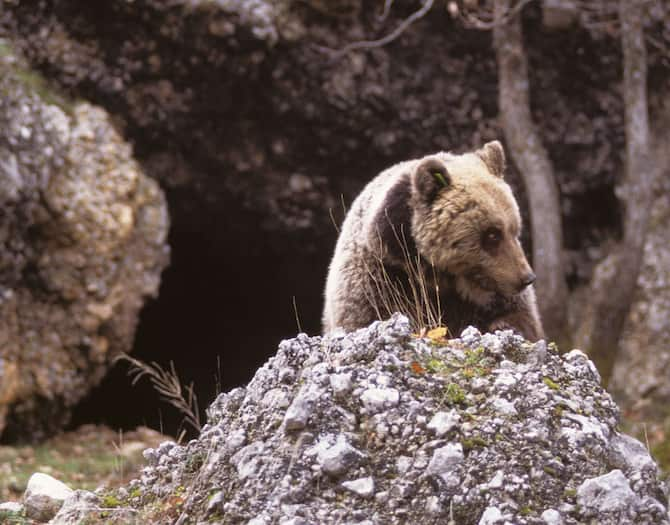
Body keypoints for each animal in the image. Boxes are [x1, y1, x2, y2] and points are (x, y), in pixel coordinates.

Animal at [322, 141, 548, 342]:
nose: (527, 278)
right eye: (492, 234)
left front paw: (504, 326)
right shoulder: (380, 277)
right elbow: (367, 316)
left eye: (515, 229)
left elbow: (521, 318)